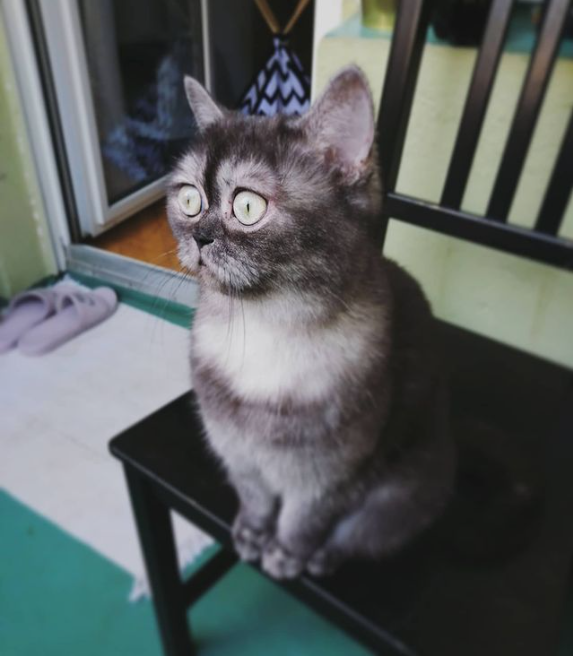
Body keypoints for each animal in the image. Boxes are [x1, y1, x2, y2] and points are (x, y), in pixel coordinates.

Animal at [166, 66, 456, 580]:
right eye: (188, 199)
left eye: (247, 206)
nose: (199, 236)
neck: (262, 329)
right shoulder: (237, 451)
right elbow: (255, 497)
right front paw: (251, 531)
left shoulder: (331, 476)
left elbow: (305, 519)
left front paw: (285, 553)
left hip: (404, 492)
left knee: (361, 534)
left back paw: (321, 558)